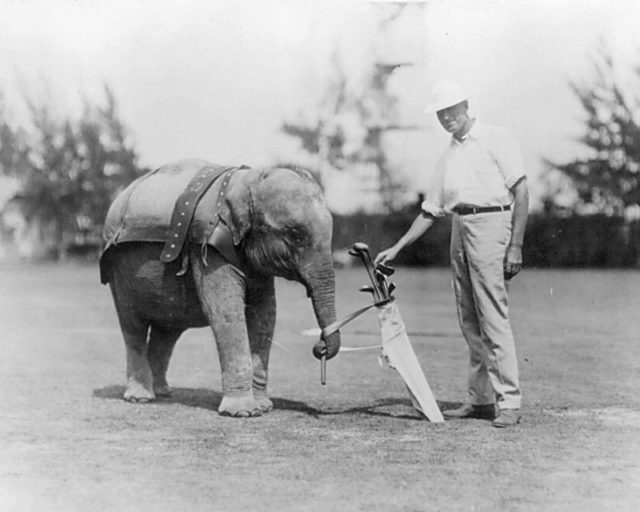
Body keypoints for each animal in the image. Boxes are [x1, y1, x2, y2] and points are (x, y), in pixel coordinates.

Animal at [100, 159, 340, 416]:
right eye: (294, 234)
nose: (320, 347)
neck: (246, 181)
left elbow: (266, 314)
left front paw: (263, 407)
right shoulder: (207, 245)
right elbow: (226, 313)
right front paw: (242, 412)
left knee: (167, 330)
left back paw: (162, 392)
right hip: (119, 270)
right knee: (132, 325)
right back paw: (140, 397)